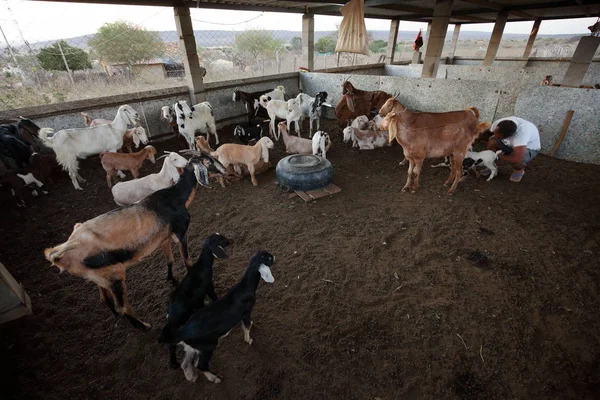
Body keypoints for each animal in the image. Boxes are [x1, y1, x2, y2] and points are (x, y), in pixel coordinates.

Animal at [43, 152, 227, 330]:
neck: (174, 197)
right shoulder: (180, 234)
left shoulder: (164, 239)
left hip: (99, 278)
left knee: (104, 298)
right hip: (114, 277)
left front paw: (172, 280)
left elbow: (170, 260)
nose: (224, 170)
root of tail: (61, 256)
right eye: (208, 161)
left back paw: (117, 318)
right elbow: (187, 261)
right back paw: (144, 326)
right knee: (122, 306)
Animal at [157, 250, 274, 384]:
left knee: (186, 364)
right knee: (201, 365)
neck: (244, 288)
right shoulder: (246, 311)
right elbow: (246, 326)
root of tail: (182, 332)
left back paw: (192, 377)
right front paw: (248, 339)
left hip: (192, 347)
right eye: (268, 258)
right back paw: (215, 378)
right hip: (208, 346)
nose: (274, 256)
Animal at [162, 234, 232, 368]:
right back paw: (174, 364)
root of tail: (170, 311)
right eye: (220, 240)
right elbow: (213, 296)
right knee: (170, 342)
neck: (202, 266)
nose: (230, 241)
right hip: (178, 321)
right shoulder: (208, 285)